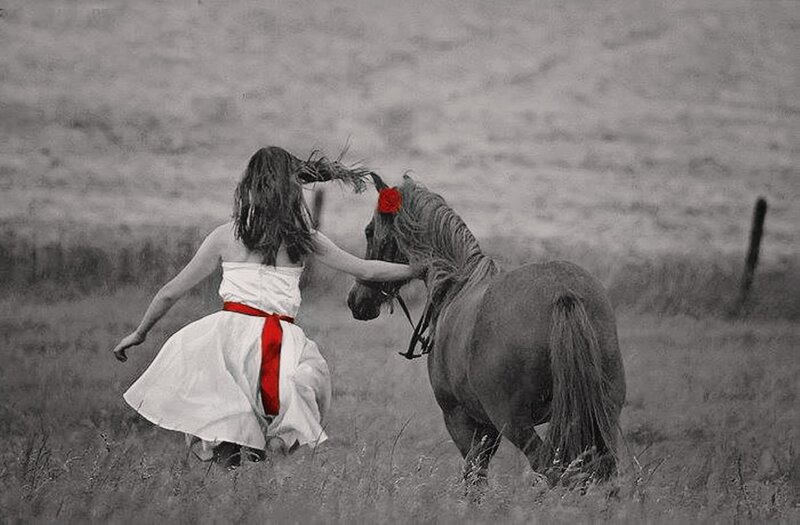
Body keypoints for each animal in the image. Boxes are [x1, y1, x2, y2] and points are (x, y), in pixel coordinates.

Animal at [347, 173, 626, 485]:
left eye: (369, 231)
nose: (356, 301)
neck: (457, 283)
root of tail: (562, 291)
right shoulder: (488, 426)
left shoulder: (463, 419)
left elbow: (474, 476)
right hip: (602, 413)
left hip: (514, 422)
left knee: (548, 467)